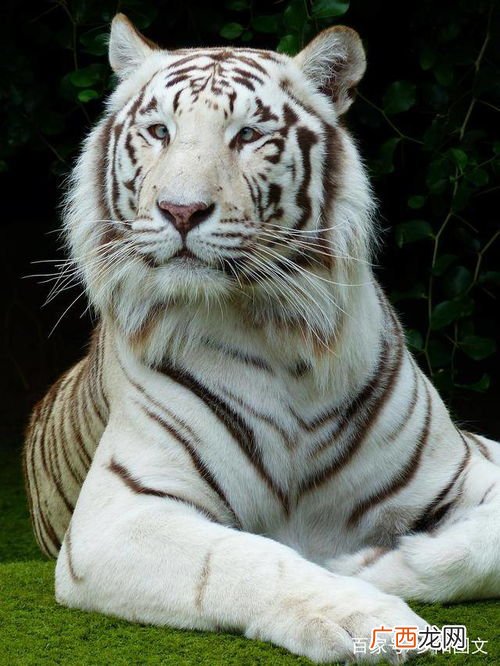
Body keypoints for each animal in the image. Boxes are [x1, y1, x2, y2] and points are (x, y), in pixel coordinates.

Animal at [23, 13, 500, 664]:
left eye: (248, 135)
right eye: (159, 131)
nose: (181, 210)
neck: (281, 339)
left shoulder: (471, 468)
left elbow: (483, 547)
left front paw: (371, 566)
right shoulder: (117, 515)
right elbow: (245, 559)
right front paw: (362, 612)